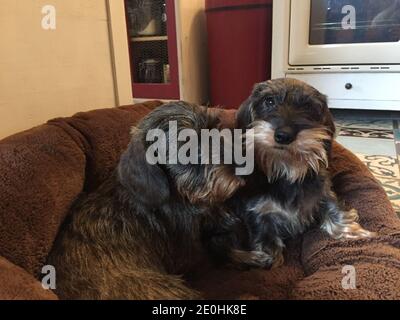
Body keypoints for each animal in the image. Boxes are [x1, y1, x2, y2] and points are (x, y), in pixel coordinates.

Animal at [230, 79, 376, 268]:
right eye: (269, 101)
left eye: (307, 106)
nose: (284, 135)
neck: (285, 169)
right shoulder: (259, 214)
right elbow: (267, 241)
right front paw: (270, 260)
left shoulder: (323, 193)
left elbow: (335, 210)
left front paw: (354, 232)